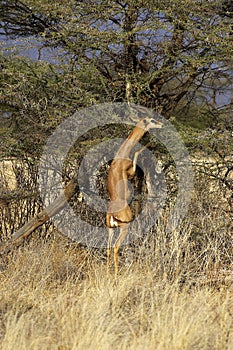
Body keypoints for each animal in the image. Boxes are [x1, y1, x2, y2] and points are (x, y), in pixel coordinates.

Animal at [105, 110, 162, 274]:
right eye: (151, 120)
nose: (161, 124)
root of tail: (112, 214)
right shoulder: (130, 172)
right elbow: (136, 152)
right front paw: (149, 144)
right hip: (124, 229)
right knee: (116, 247)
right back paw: (116, 274)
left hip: (110, 229)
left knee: (108, 248)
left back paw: (107, 273)